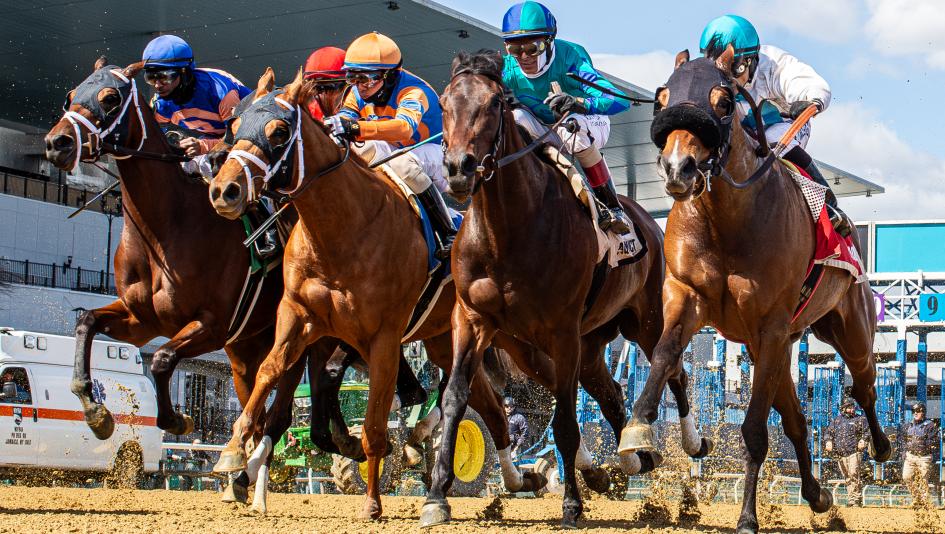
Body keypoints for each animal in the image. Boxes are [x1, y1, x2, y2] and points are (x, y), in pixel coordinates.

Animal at [207, 69, 547, 520]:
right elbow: (270, 372)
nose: (223, 190)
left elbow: (373, 422)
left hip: (517, 337)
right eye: (234, 126)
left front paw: (371, 499)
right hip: (446, 338)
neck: (342, 228)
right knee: (486, 404)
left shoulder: (382, 336)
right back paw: (513, 476)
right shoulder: (299, 318)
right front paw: (234, 454)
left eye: (278, 131)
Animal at [422, 50, 691, 529]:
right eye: (444, 101)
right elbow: (454, 399)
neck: (508, 231)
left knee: (674, 369)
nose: (457, 169)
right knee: (610, 392)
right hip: (569, 345)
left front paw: (571, 504)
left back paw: (686, 444)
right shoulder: (471, 320)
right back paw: (629, 457)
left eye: (494, 103)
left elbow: (565, 420)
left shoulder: (562, 331)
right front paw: (436, 496)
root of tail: (650, 223)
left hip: (644, 322)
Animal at [623, 47, 891, 534]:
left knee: (864, 387)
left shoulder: (770, 327)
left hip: (848, 330)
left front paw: (747, 516)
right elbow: (665, 355)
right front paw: (637, 428)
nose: (677, 167)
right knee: (798, 422)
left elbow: (752, 431)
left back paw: (880, 447)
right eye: (662, 99)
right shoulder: (688, 298)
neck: (727, 222)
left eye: (724, 103)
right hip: (778, 346)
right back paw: (816, 494)